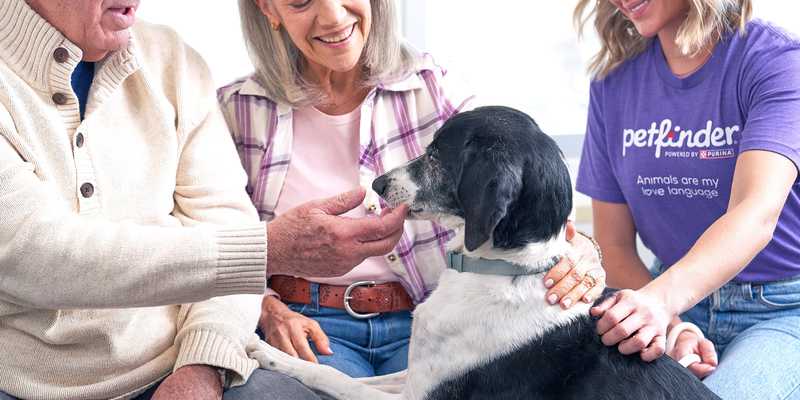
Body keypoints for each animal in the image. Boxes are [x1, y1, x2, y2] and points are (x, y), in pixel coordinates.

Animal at [247, 107, 716, 400]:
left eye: (437, 154)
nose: (379, 184)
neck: (501, 269)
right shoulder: (416, 376)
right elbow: (358, 374)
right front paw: (267, 349)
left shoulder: (420, 397)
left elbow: (330, 374)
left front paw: (270, 356)